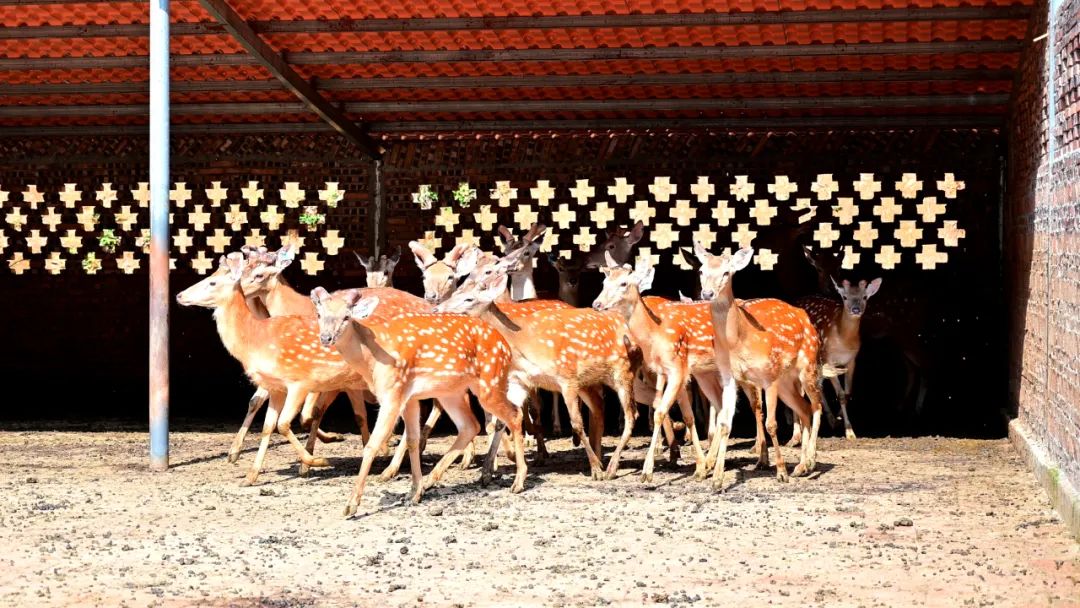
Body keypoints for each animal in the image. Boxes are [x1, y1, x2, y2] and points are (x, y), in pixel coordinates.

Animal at [176, 252, 374, 486]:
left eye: (212, 282)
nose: (179, 295)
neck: (256, 338)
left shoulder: (300, 382)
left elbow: (285, 423)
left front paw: (316, 461)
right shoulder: (276, 386)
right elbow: (268, 425)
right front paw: (250, 475)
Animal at [311, 287, 528, 516]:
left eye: (346, 316)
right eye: (319, 314)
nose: (326, 337)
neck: (372, 358)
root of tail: (505, 346)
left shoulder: (392, 392)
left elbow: (372, 444)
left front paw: (351, 505)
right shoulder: (410, 399)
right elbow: (412, 441)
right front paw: (413, 493)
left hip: (490, 380)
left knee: (513, 414)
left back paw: (518, 480)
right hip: (451, 391)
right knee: (471, 425)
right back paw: (431, 480)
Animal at [694, 244, 825, 488]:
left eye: (726, 272)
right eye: (701, 270)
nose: (707, 294)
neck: (739, 340)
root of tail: (805, 317)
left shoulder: (768, 375)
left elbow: (772, 424)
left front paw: (781, 472)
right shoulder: (729, 377)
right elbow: (725, 424)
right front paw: (717, 479)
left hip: (809, 364)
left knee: (816, 405)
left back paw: (810, 461)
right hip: (786, 381)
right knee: (803, 409)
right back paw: (801, 466)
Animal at [794, 277, 882, 442]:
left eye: (864, 297)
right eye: (845, 297)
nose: (855, 309)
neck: (843, 341)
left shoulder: (852, 360)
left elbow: (847, 392)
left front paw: (840, 417)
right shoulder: (829, 358)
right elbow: (840, 394)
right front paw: (849, 431)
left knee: (818, 386)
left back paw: (831, 419)